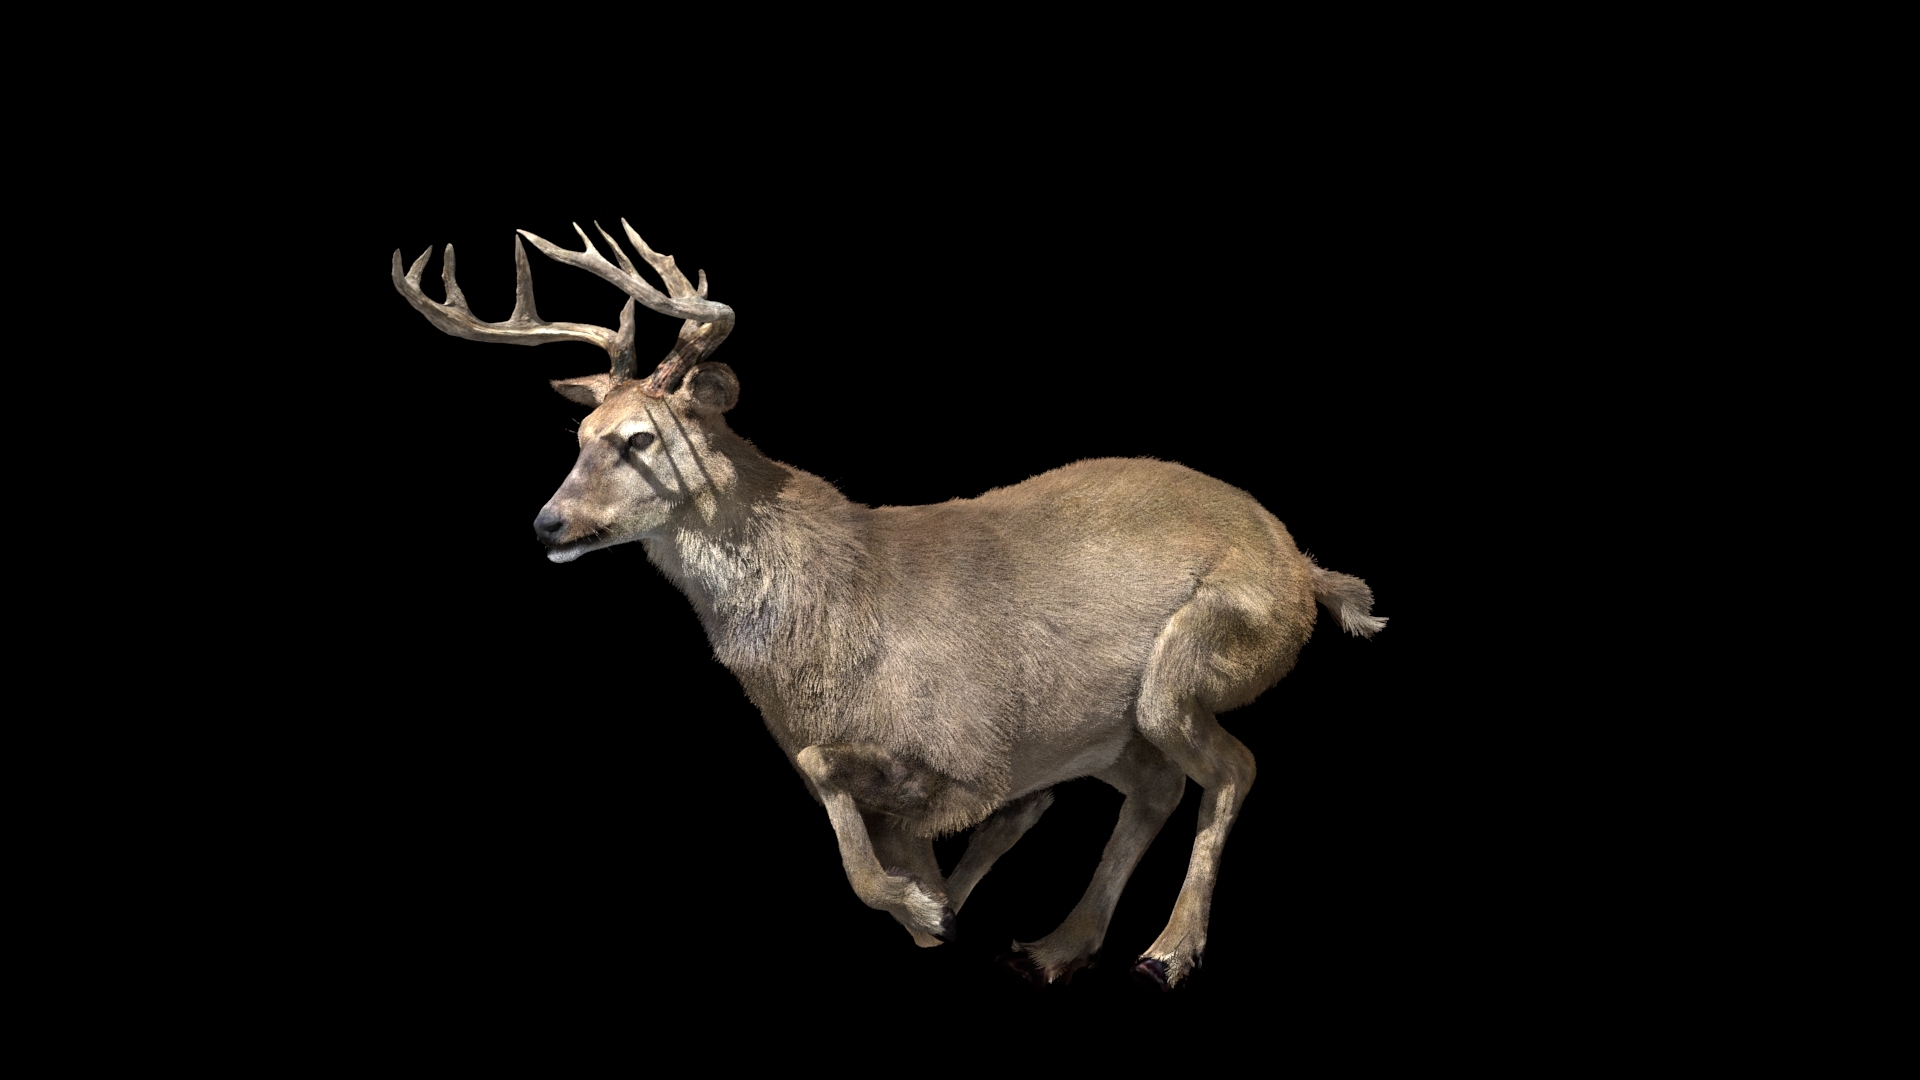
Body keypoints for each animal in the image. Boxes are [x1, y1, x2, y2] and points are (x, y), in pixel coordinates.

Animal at [391, 219, 1387, 990]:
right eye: (579, 434)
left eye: (640, 439)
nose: (547, 523)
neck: (833, 612)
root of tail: (1302, 568)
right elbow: (863, 811)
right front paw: (933, 910)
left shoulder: (972, 743)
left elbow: (880, 800)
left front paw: (927, 906)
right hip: (1113, 727)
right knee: (1156, 785)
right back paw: (1054, 948)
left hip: (1189, 666)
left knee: (1232, 767)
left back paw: (1167, 952)